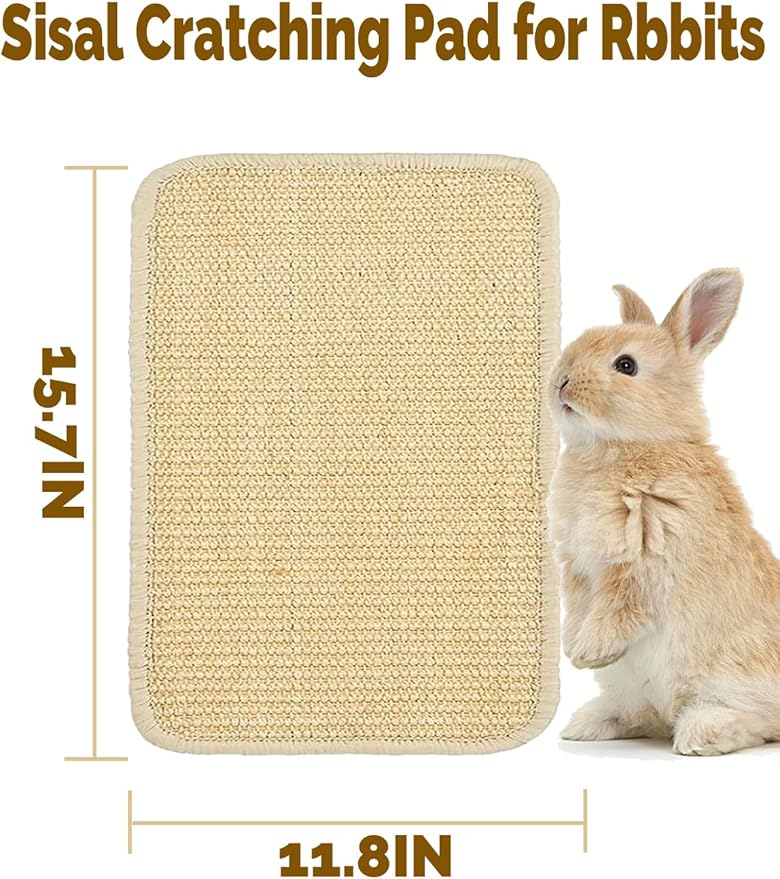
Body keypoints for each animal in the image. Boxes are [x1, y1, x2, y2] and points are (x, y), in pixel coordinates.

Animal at [547, 267, 780, 755]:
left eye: (626, 366)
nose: (561, 381)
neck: (628, 444)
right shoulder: (575, 565)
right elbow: (578, 609)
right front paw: (574, 650)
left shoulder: (645, 555)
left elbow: (619, 605)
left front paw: (590, 652)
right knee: (644, 715)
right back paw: (587, 724)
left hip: (732, 674)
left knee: (757, 721)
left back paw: (703, 734)